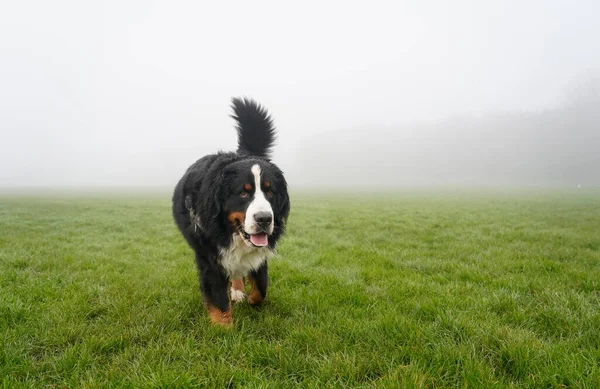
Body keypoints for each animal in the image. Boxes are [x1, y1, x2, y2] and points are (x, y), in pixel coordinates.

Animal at [171, 97, 290, 324]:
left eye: (270, 192)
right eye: (243, 193)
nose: (264, 219)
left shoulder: (259, 254)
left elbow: (261, 287)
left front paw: (251, 300)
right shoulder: (210, 256)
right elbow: (219, 299)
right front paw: (223, 327)